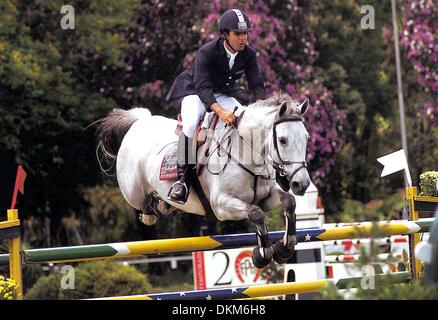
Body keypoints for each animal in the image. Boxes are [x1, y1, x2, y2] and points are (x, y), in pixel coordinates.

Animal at [96, 92, 312, 268]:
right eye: (283, 140)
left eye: (307, 138)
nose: (302, 184)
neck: (246, 153)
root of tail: (139, 122)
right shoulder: (221, 205)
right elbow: (256, 213)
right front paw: (263, 255)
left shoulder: (266, 197)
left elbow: (288, 202)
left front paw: (284, 248)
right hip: (134, 192)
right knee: (145, 210)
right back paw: (156, 208)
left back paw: (166, 203)